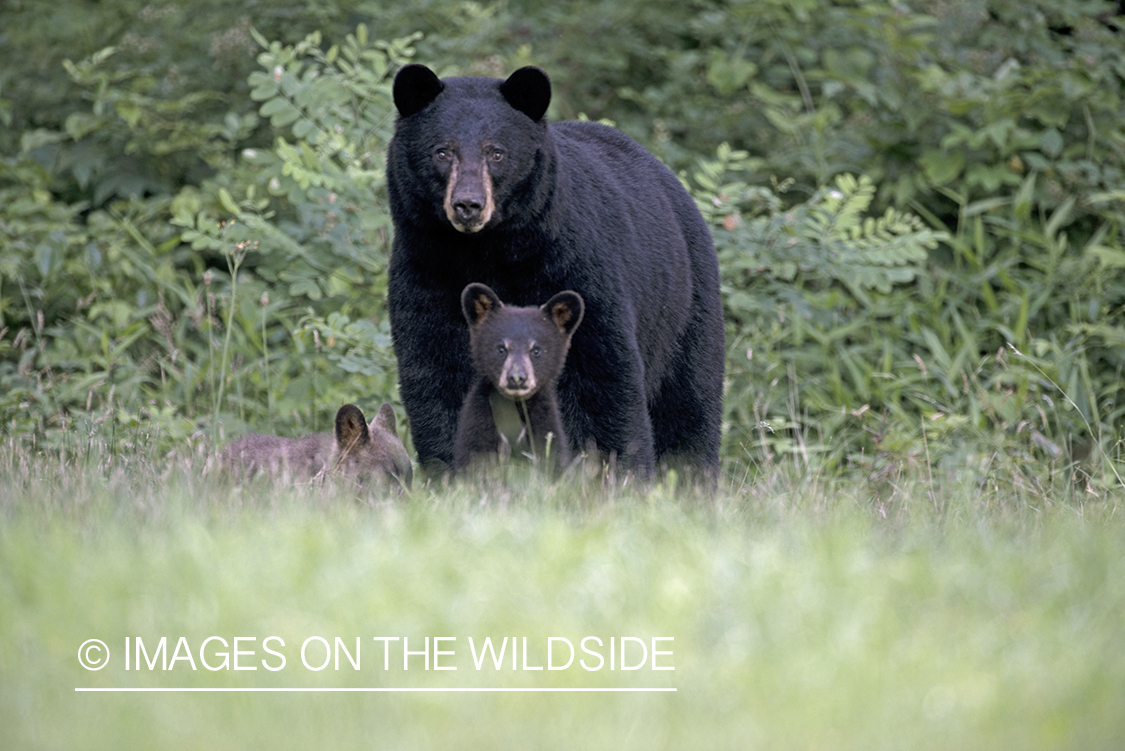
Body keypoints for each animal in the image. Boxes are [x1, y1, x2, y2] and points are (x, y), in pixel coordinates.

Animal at [452, 284, 585, 472]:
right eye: (501, 349)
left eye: (536, 350)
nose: (516, 378)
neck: (513, 406)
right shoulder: (479, 422)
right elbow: (474, 456)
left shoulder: (543, 424)